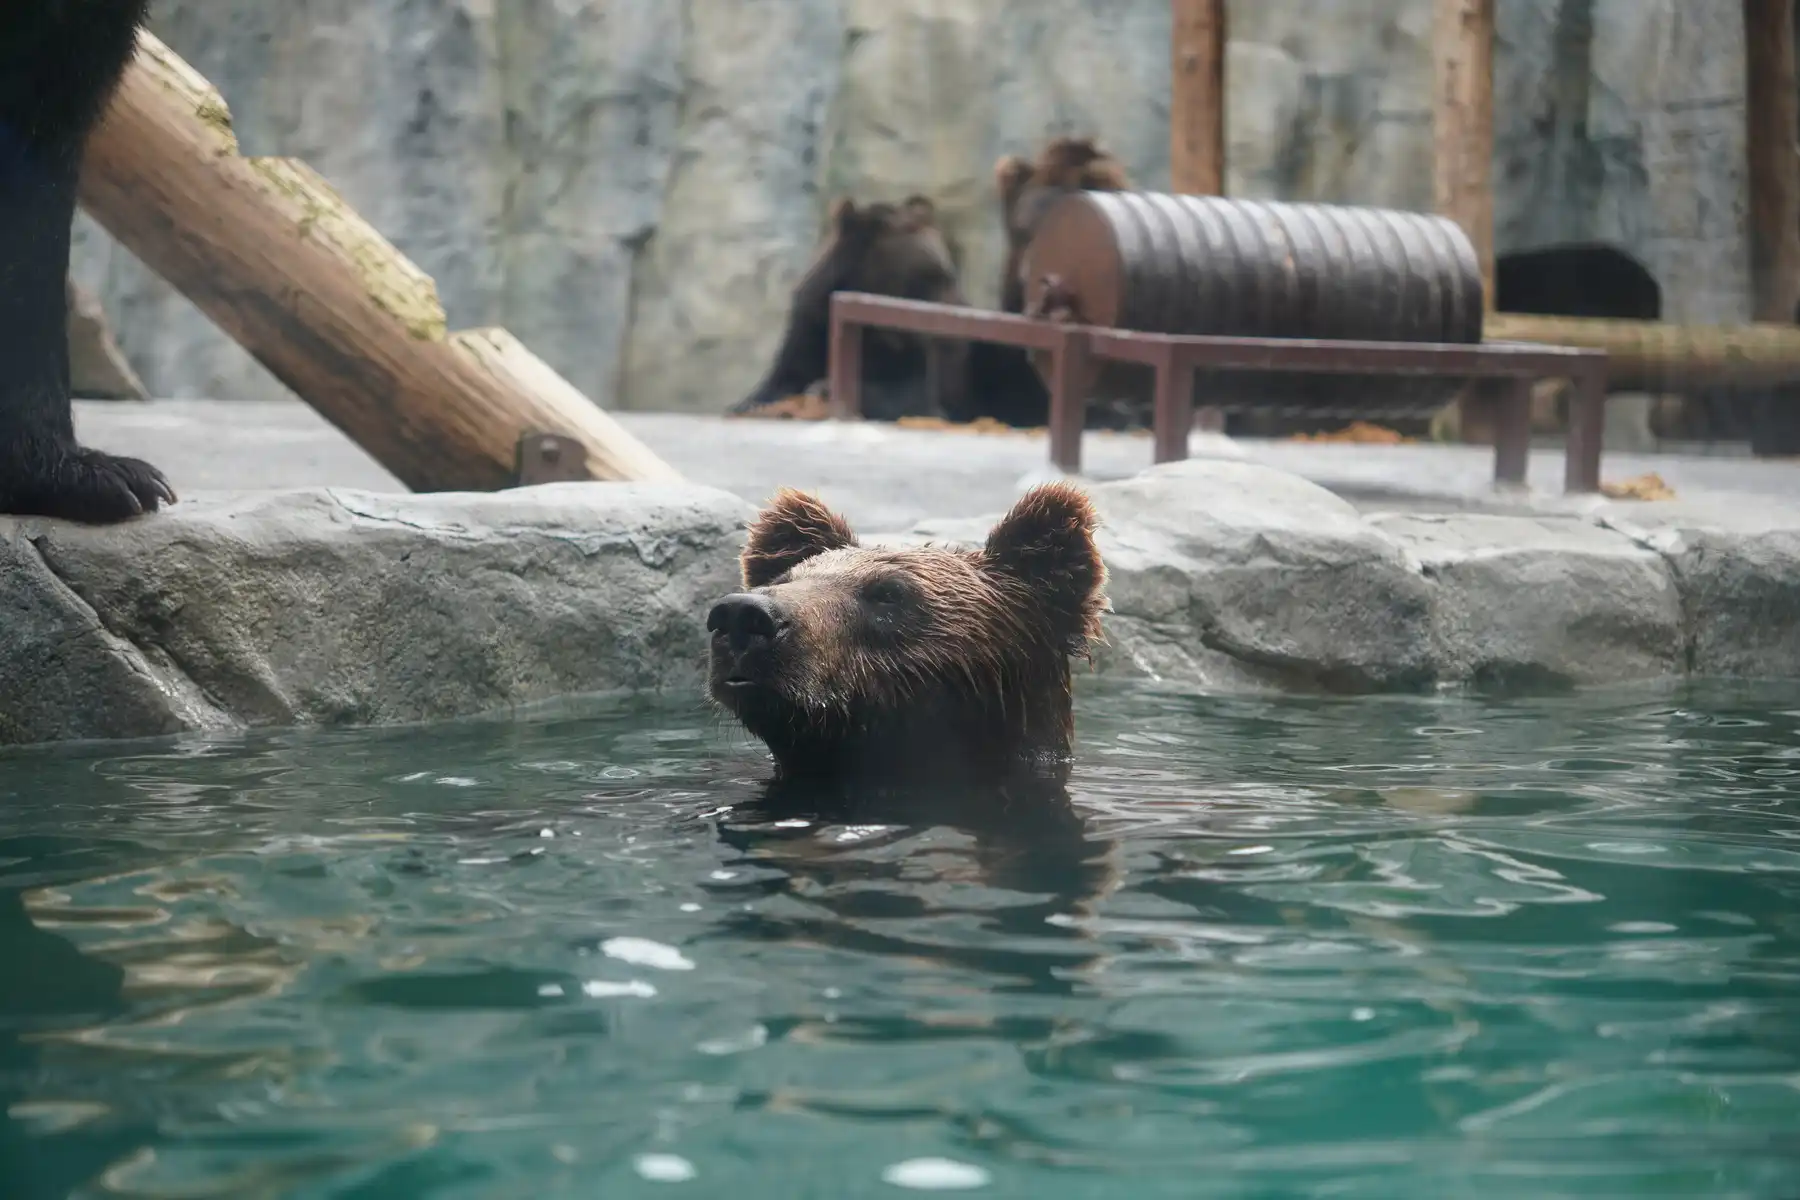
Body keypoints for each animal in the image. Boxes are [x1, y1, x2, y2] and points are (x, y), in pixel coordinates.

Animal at [732, 194, 969, 423]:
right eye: (934, 276)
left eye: (944, 274)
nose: (959, 313)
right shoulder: (813, 325)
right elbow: (782, 380)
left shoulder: (915, 359)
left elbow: (908, 397)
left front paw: (823, 390)